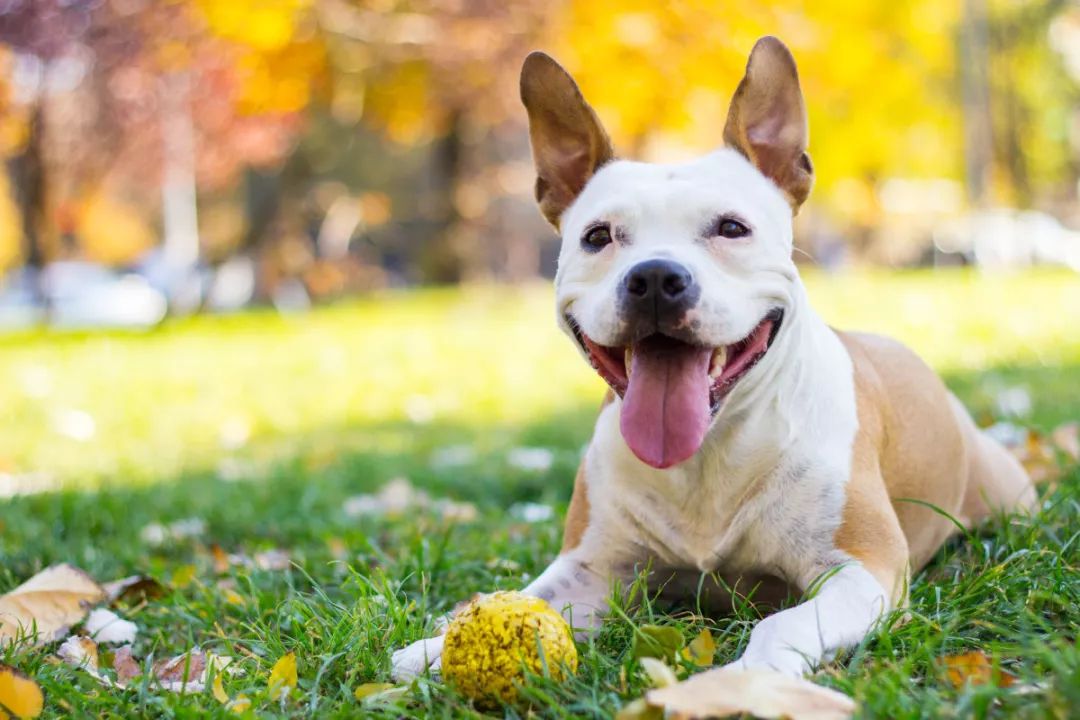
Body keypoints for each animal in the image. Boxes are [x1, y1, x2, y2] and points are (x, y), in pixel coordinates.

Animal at [390, 35, 1036, 682]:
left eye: (731, 228)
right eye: (597, 237)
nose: (654, 277)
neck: (708, 453)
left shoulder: (862, 570)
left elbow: (784, 622)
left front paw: (751, 677)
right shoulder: (590, 567)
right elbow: (528, 598)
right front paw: (437, 645)